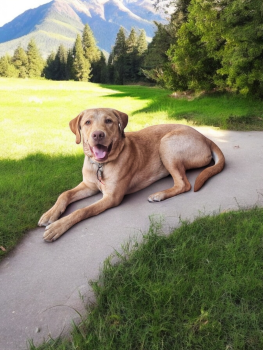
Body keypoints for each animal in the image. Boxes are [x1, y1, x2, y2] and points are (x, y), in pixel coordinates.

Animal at [38, 108, 226, 242]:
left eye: (108, 121)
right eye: (87, 122)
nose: (98, 134)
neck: (101, 165)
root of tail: (205, 137)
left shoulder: (112, 197)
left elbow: (83, 210)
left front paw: (57, 227)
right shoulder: (88, 186)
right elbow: (65, 194)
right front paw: (50, 214)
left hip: (166, 144)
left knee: (183, 184)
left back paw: (159, 195)